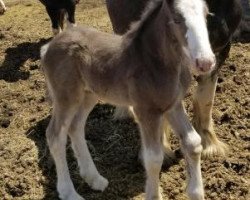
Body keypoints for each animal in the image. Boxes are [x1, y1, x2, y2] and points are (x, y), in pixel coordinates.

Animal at [40, 0, 215, 200]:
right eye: (177, 18)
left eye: (207, 15)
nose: (205, 62)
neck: (154, 61)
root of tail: (48, 47)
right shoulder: (146, 110)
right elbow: (153, 158)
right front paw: (153, 195)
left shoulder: (173, 105)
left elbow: (193, 143)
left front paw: (196, 192)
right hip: (66, 97)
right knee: (55, 135)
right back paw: (69, 192)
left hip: (88, 94)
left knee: (75, 127)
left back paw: (95, 179)